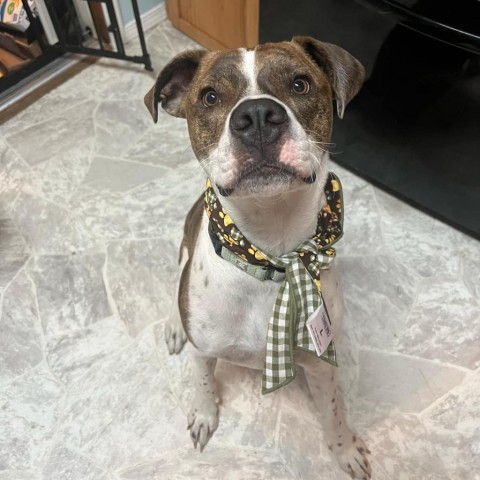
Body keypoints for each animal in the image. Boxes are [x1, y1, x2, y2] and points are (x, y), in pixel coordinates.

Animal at [144, 35, 370, 478]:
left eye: (300, 84)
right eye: (210, 96)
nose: (258, 115)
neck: (272, 254)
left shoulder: (323, 364)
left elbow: (335, 410)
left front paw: (344, 449)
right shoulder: (203, 352)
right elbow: (203, 384)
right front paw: (204, 415)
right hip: (182, 251)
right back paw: (174, 326)